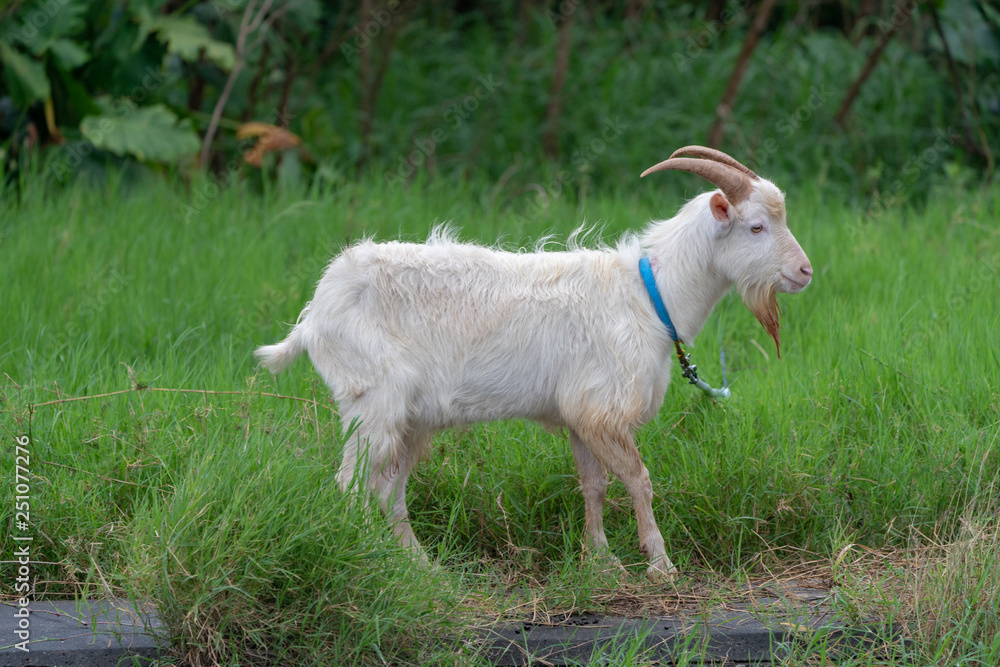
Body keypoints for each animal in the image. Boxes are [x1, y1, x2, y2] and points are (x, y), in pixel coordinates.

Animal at [254, 146, 808, 580]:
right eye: (756, 226)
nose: (804, 272)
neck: (649, 296)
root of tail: (315, 313)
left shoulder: (581, 416)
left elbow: (594, 485)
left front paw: (600, 561)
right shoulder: (602, 409)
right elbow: (639, 480)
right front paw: (660, 565)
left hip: (409, 418)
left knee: (388, 488)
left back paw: (421, 567)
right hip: (374, 402)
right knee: (353, 485)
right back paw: (375, 560)